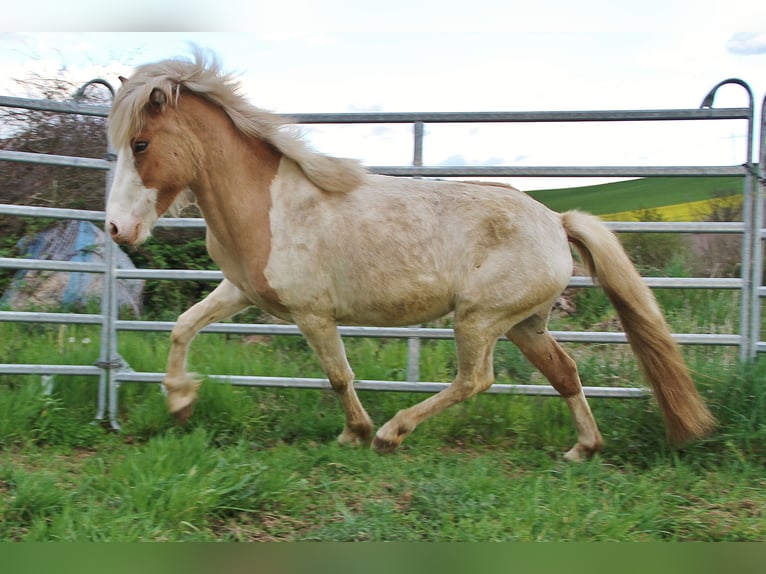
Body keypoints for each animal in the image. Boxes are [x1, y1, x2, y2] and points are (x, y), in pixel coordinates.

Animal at [105, 50, 715, 461]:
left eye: (141, 144)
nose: (117, 228)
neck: (271, 203)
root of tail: (556, 221)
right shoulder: (239, 290)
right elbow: (183, 326)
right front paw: (180, 402)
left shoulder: (312, 313)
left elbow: (338, 376)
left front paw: (353, 432)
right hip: (526, 324)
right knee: (564, 372)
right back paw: (583, 449)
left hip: (479, 318)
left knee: (476, 380)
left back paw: (391, 433)